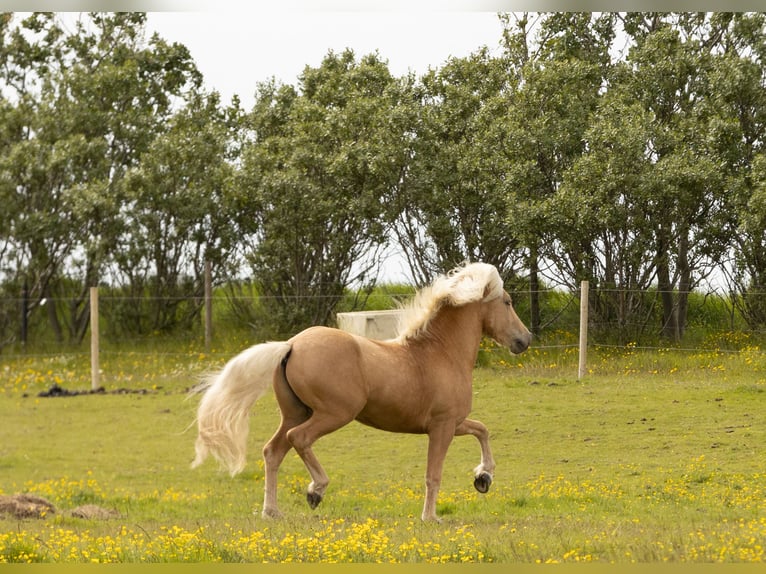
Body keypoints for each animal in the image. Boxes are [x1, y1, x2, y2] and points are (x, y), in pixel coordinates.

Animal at [191, 262, 531, 521]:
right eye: (508, 302)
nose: (525, 340)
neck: (440, 353)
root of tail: (291, 345)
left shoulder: (453, 422)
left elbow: (482, 430)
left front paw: (483, 478)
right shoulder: (442, 426)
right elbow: (433, 474)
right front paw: (431, 517)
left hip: (295, 412)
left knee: (272, 451)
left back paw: (271, 512)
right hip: (334, 413)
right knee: (298, 439)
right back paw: (316, 491)